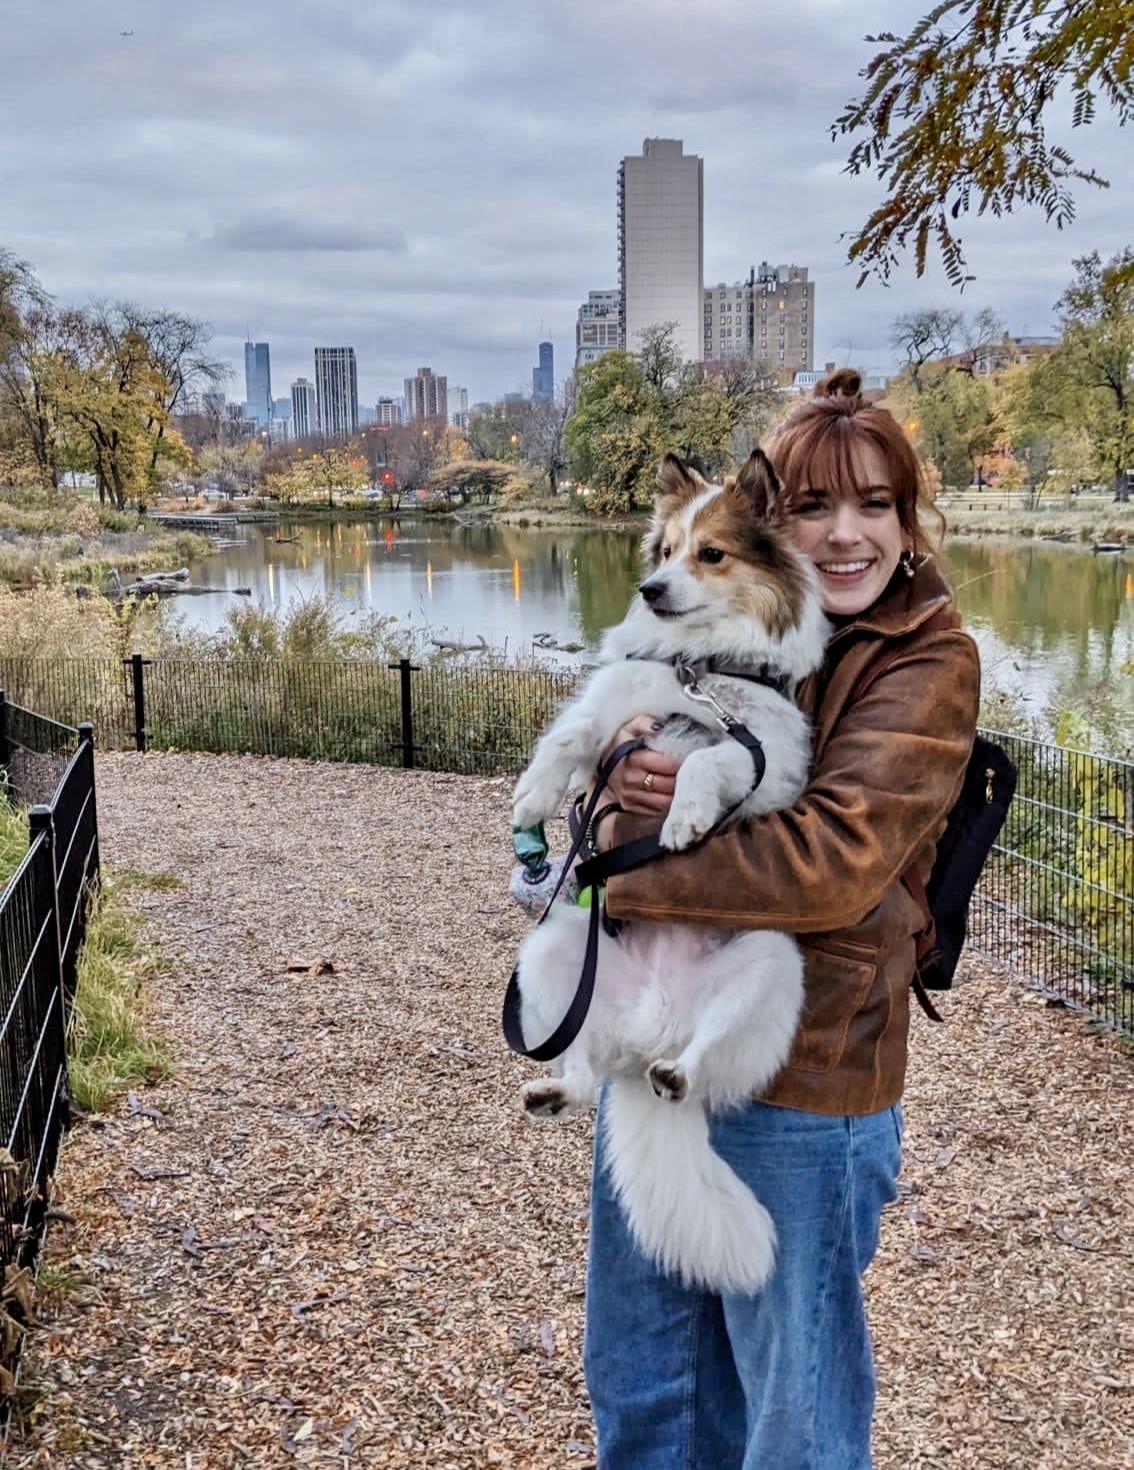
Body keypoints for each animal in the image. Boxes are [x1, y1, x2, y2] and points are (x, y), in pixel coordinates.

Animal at [508, 443, 829, 1287]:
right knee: (582, 1070)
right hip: (551, 958)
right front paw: (532, 800)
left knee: (699, 1060)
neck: (701, 667)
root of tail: (648, 1036)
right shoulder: (616, 715)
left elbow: (712, 759)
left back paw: (678, 1072)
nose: (651, 591)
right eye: (664, 552)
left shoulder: (769, 763)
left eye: (711, 555)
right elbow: (571, 739)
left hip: (767, 967)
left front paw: (684, 817)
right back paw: (555, 1092)